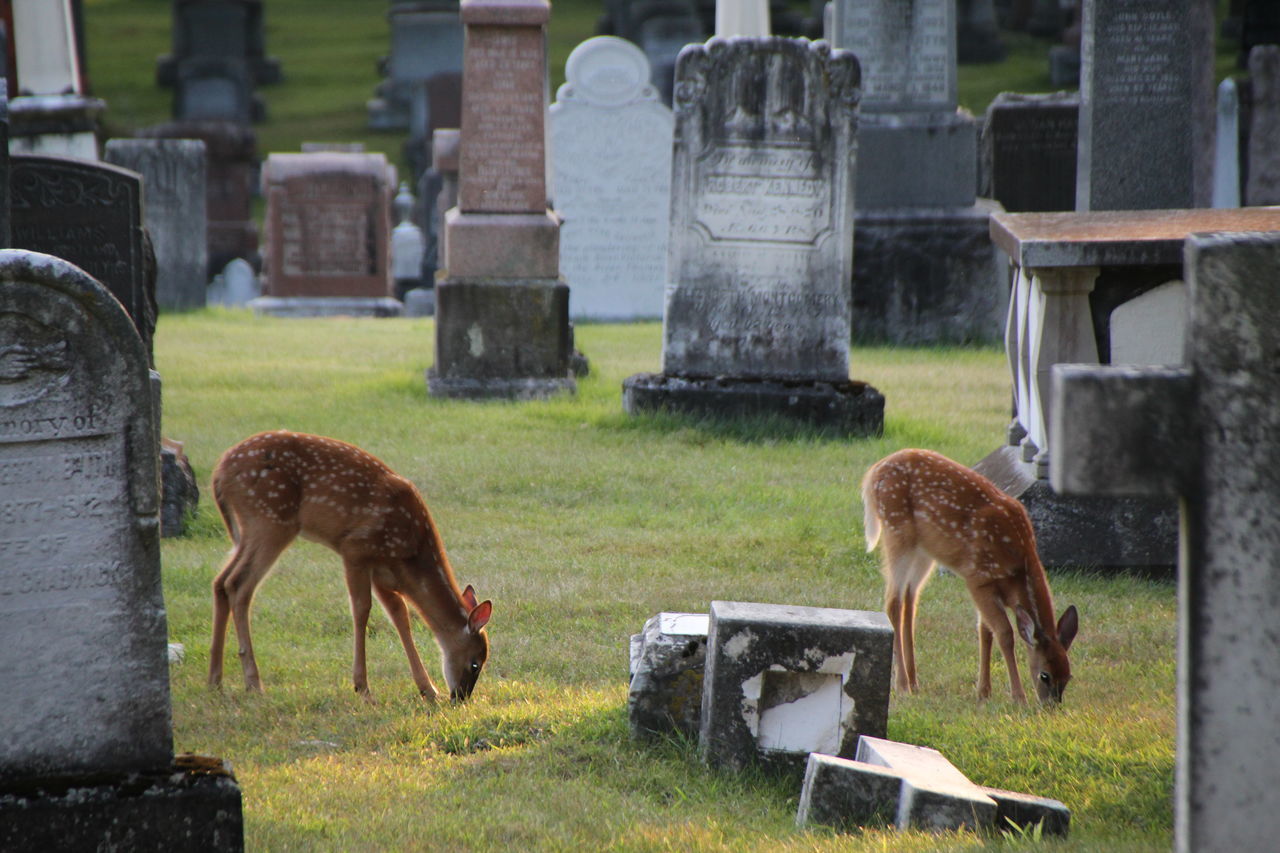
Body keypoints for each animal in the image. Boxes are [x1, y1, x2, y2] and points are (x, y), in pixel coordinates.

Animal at [207, 427, 491, 701]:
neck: (410, 556)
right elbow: (362, 609)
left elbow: (400, 616)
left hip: (250, 529)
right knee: (239, 584)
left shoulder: (382, 572)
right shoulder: (356, 548)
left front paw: (428, 690)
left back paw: (215, 681)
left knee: (221, 582)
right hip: (270, 518)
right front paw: (362, 687)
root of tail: (219, 472)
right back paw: (253, 683)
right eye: (475, 663)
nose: (460, 697)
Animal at [860, 448, 1080, 701]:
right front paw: (1018, 697)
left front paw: (984, 692)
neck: (1018, 569)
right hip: (897, 530)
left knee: (909, 600)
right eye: (1045, 675)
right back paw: (903, 685)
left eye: (1068, 676)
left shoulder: (988, 587)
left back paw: (914, 682)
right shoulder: (978, 578)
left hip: (924, 550)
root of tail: (873, 473)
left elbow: (986, 632)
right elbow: (1005, 634)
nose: (1051, 704)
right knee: (892, 602)